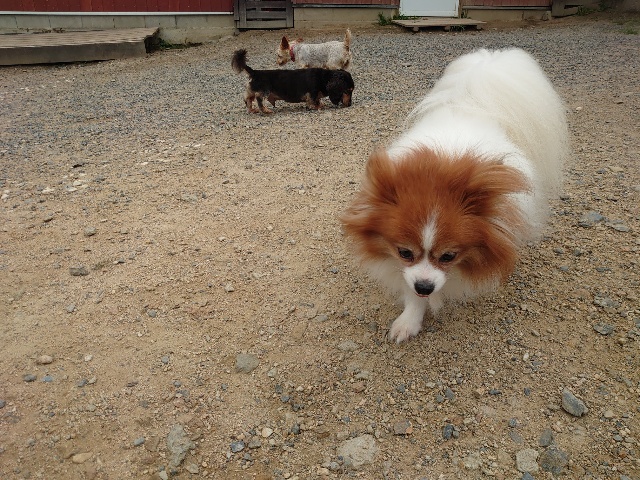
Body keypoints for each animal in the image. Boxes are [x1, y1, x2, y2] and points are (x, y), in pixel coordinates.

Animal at [341, 48, 569, 343]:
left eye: (449, 256)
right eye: (404, 252)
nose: (424, 286)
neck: (440, 171)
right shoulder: (405, 270)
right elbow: (410, 292)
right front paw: (409, 320)